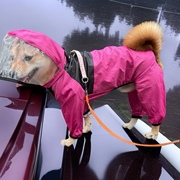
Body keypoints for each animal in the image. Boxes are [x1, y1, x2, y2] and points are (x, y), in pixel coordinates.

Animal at [0, 21, 166, 146]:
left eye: (28, 58)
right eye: (12, 57)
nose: (11, 74)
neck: (63, 69)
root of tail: (151, 53)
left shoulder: (72, 103)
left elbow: (75, 124)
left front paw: (70, 140)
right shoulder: (83, 100)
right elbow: (87, 118)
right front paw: (87, 129)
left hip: (150, 91)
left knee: (155, 114)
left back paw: (153, 133)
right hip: (134, 91)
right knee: (137, 113)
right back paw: (130, 125)